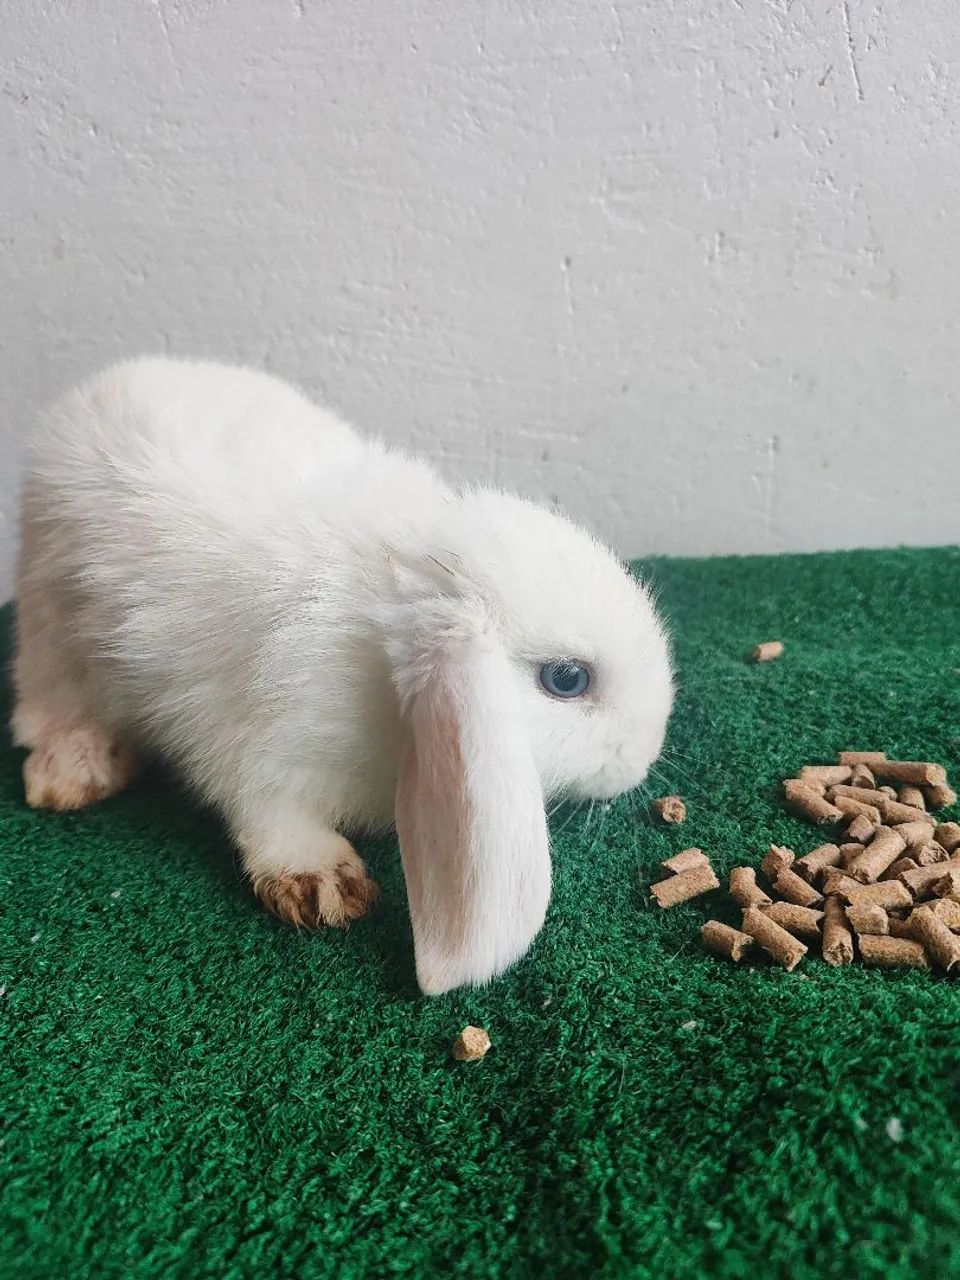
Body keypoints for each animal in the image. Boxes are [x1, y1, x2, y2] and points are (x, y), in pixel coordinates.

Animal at [12, 356, 674, 994]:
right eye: (567, 679)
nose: (643, 759)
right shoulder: (260, 747)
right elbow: (265, 811)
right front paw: (323, 884)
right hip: (49, 620)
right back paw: (73, 769)